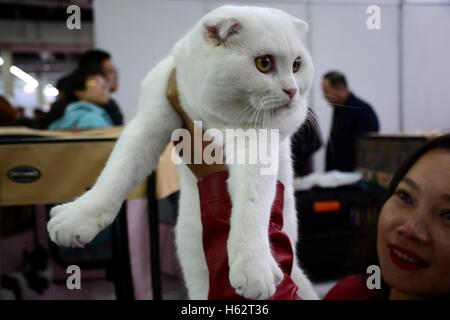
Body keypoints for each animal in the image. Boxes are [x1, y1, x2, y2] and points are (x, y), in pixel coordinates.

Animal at [47, 5, 318, 300]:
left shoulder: (257, 146)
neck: (212, 119)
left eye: (297, 65)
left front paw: (253, 266)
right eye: (264, 63)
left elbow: (252, 204)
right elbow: (116, 175)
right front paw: (76, 219)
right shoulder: (149, 123)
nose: (292, 91)